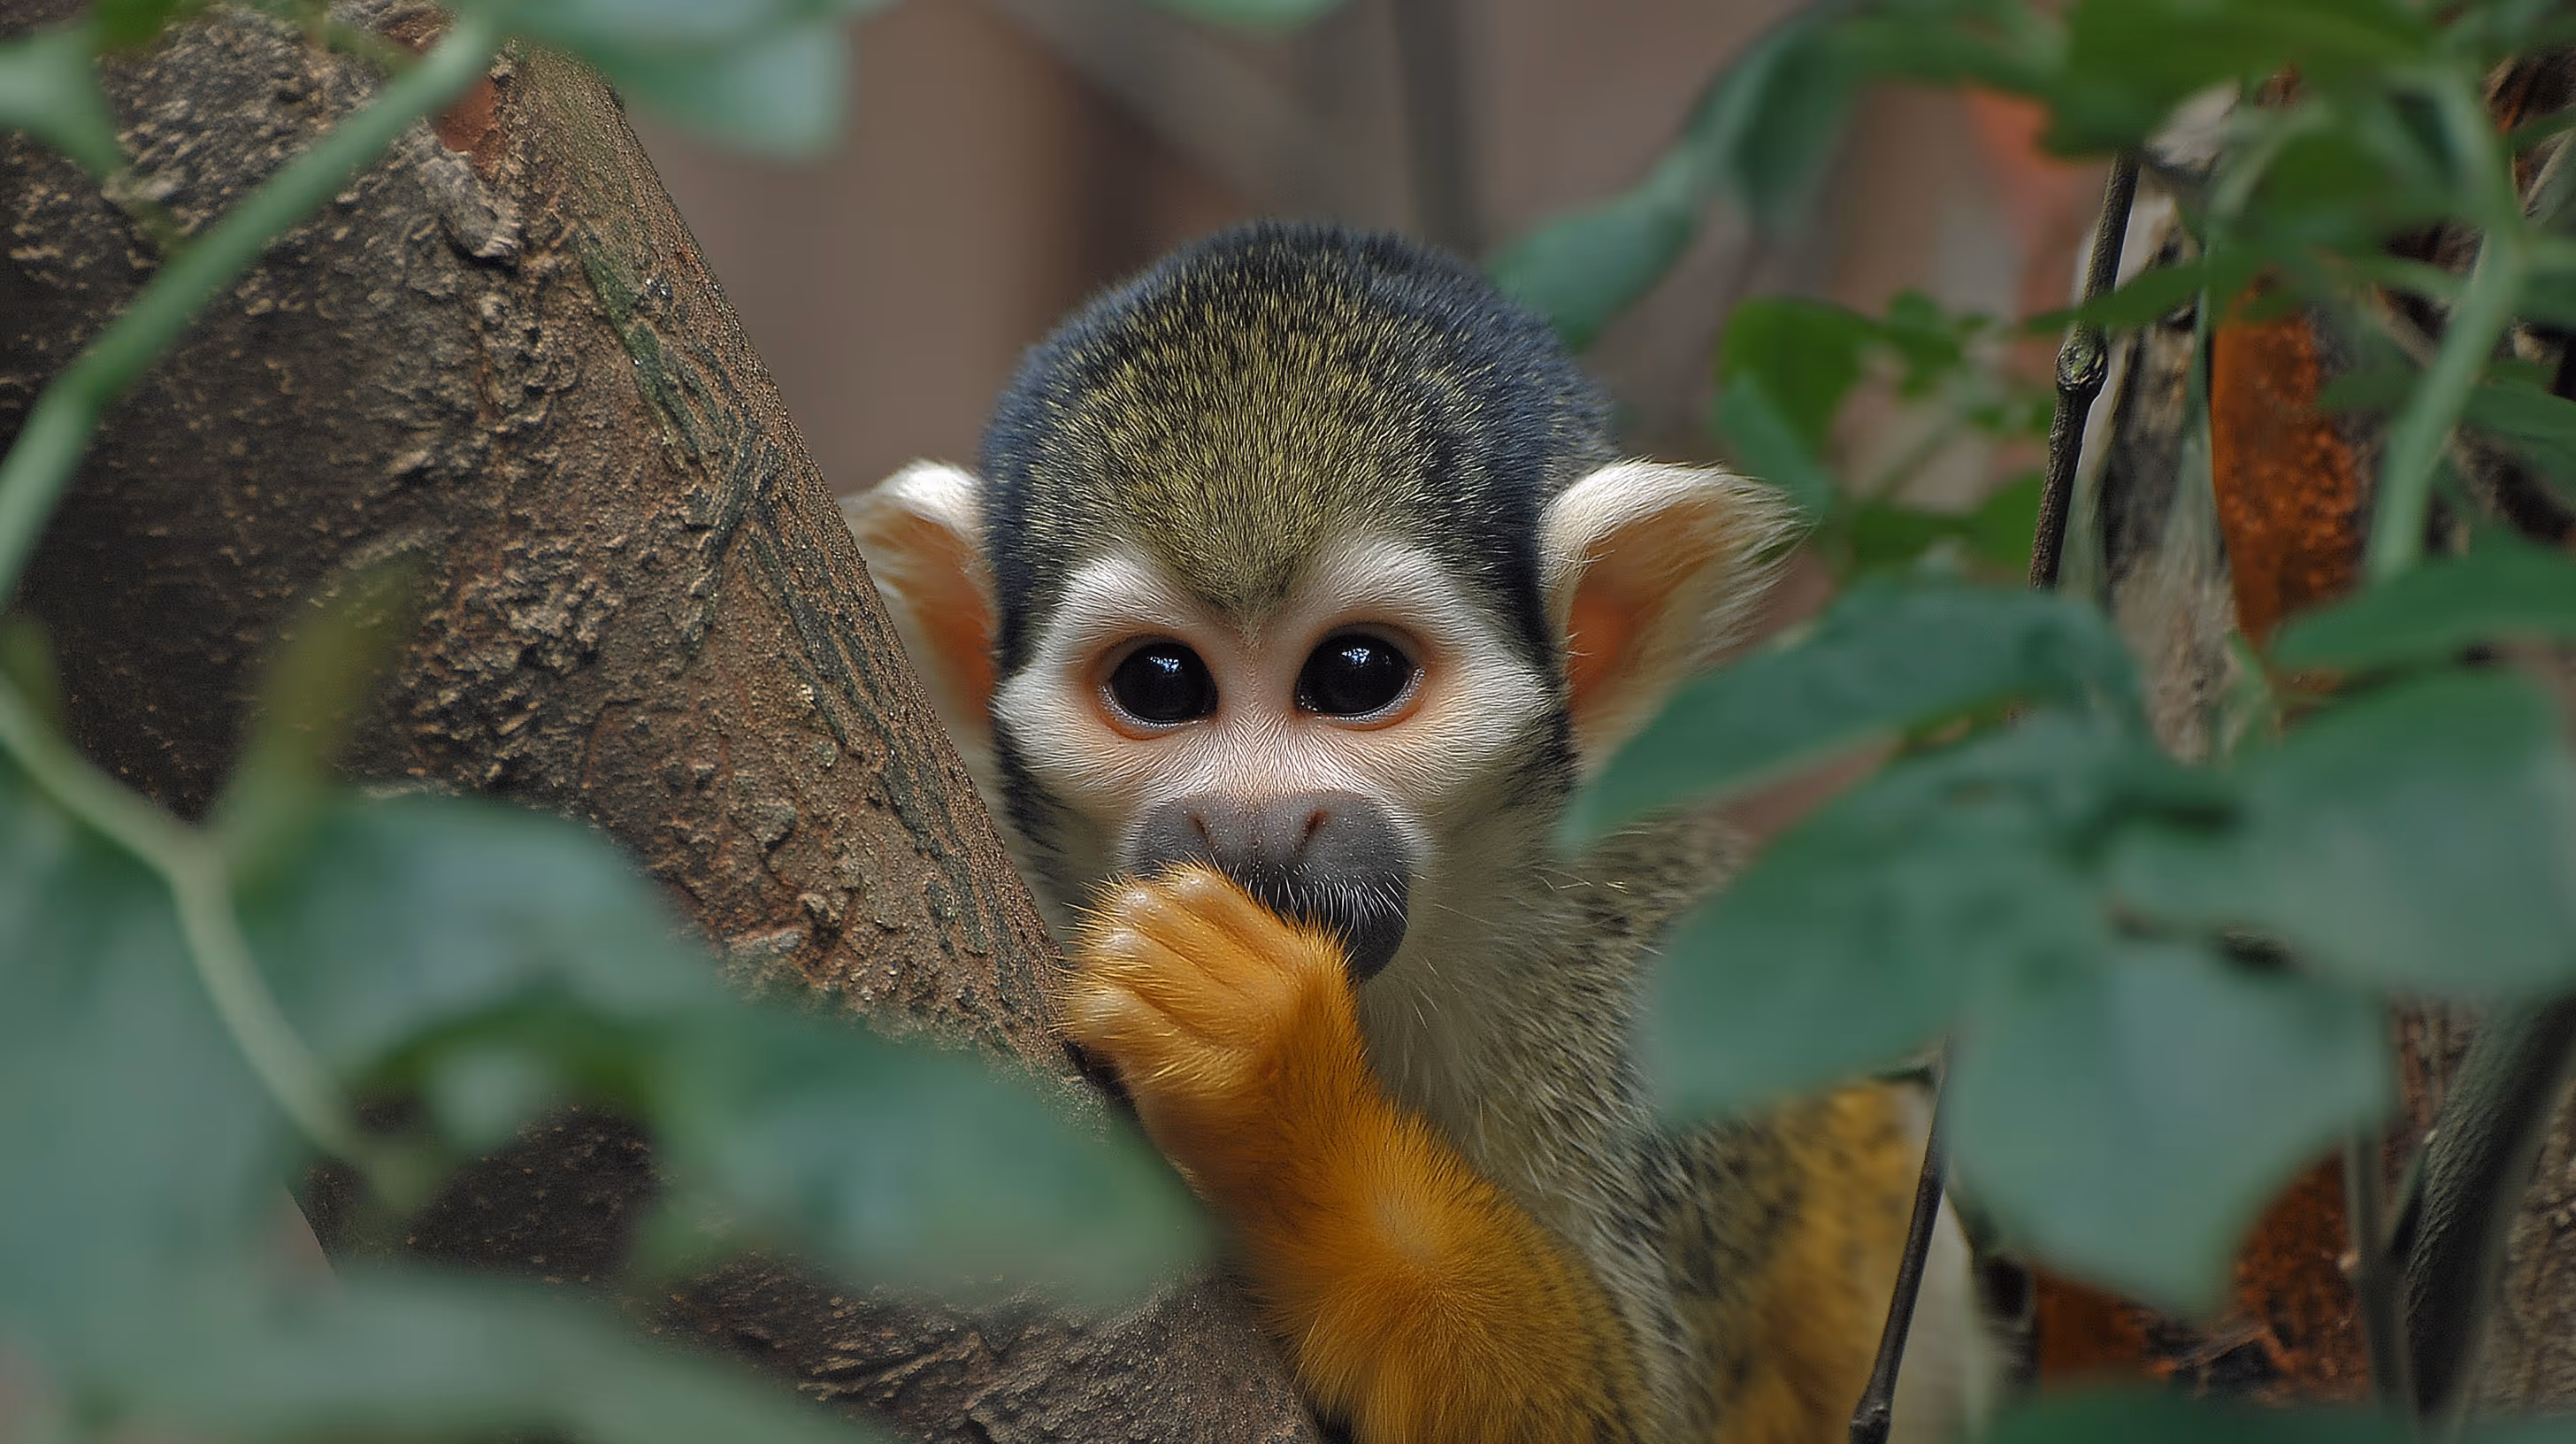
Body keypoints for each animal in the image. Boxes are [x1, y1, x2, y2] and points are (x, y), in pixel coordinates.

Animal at [845, 221, 2001, 1444]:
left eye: (1356, 674)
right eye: (1159, 684)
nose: (1256, 825)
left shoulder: (1641, 1010)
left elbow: (1630, 1416)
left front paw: (1283, 1096)